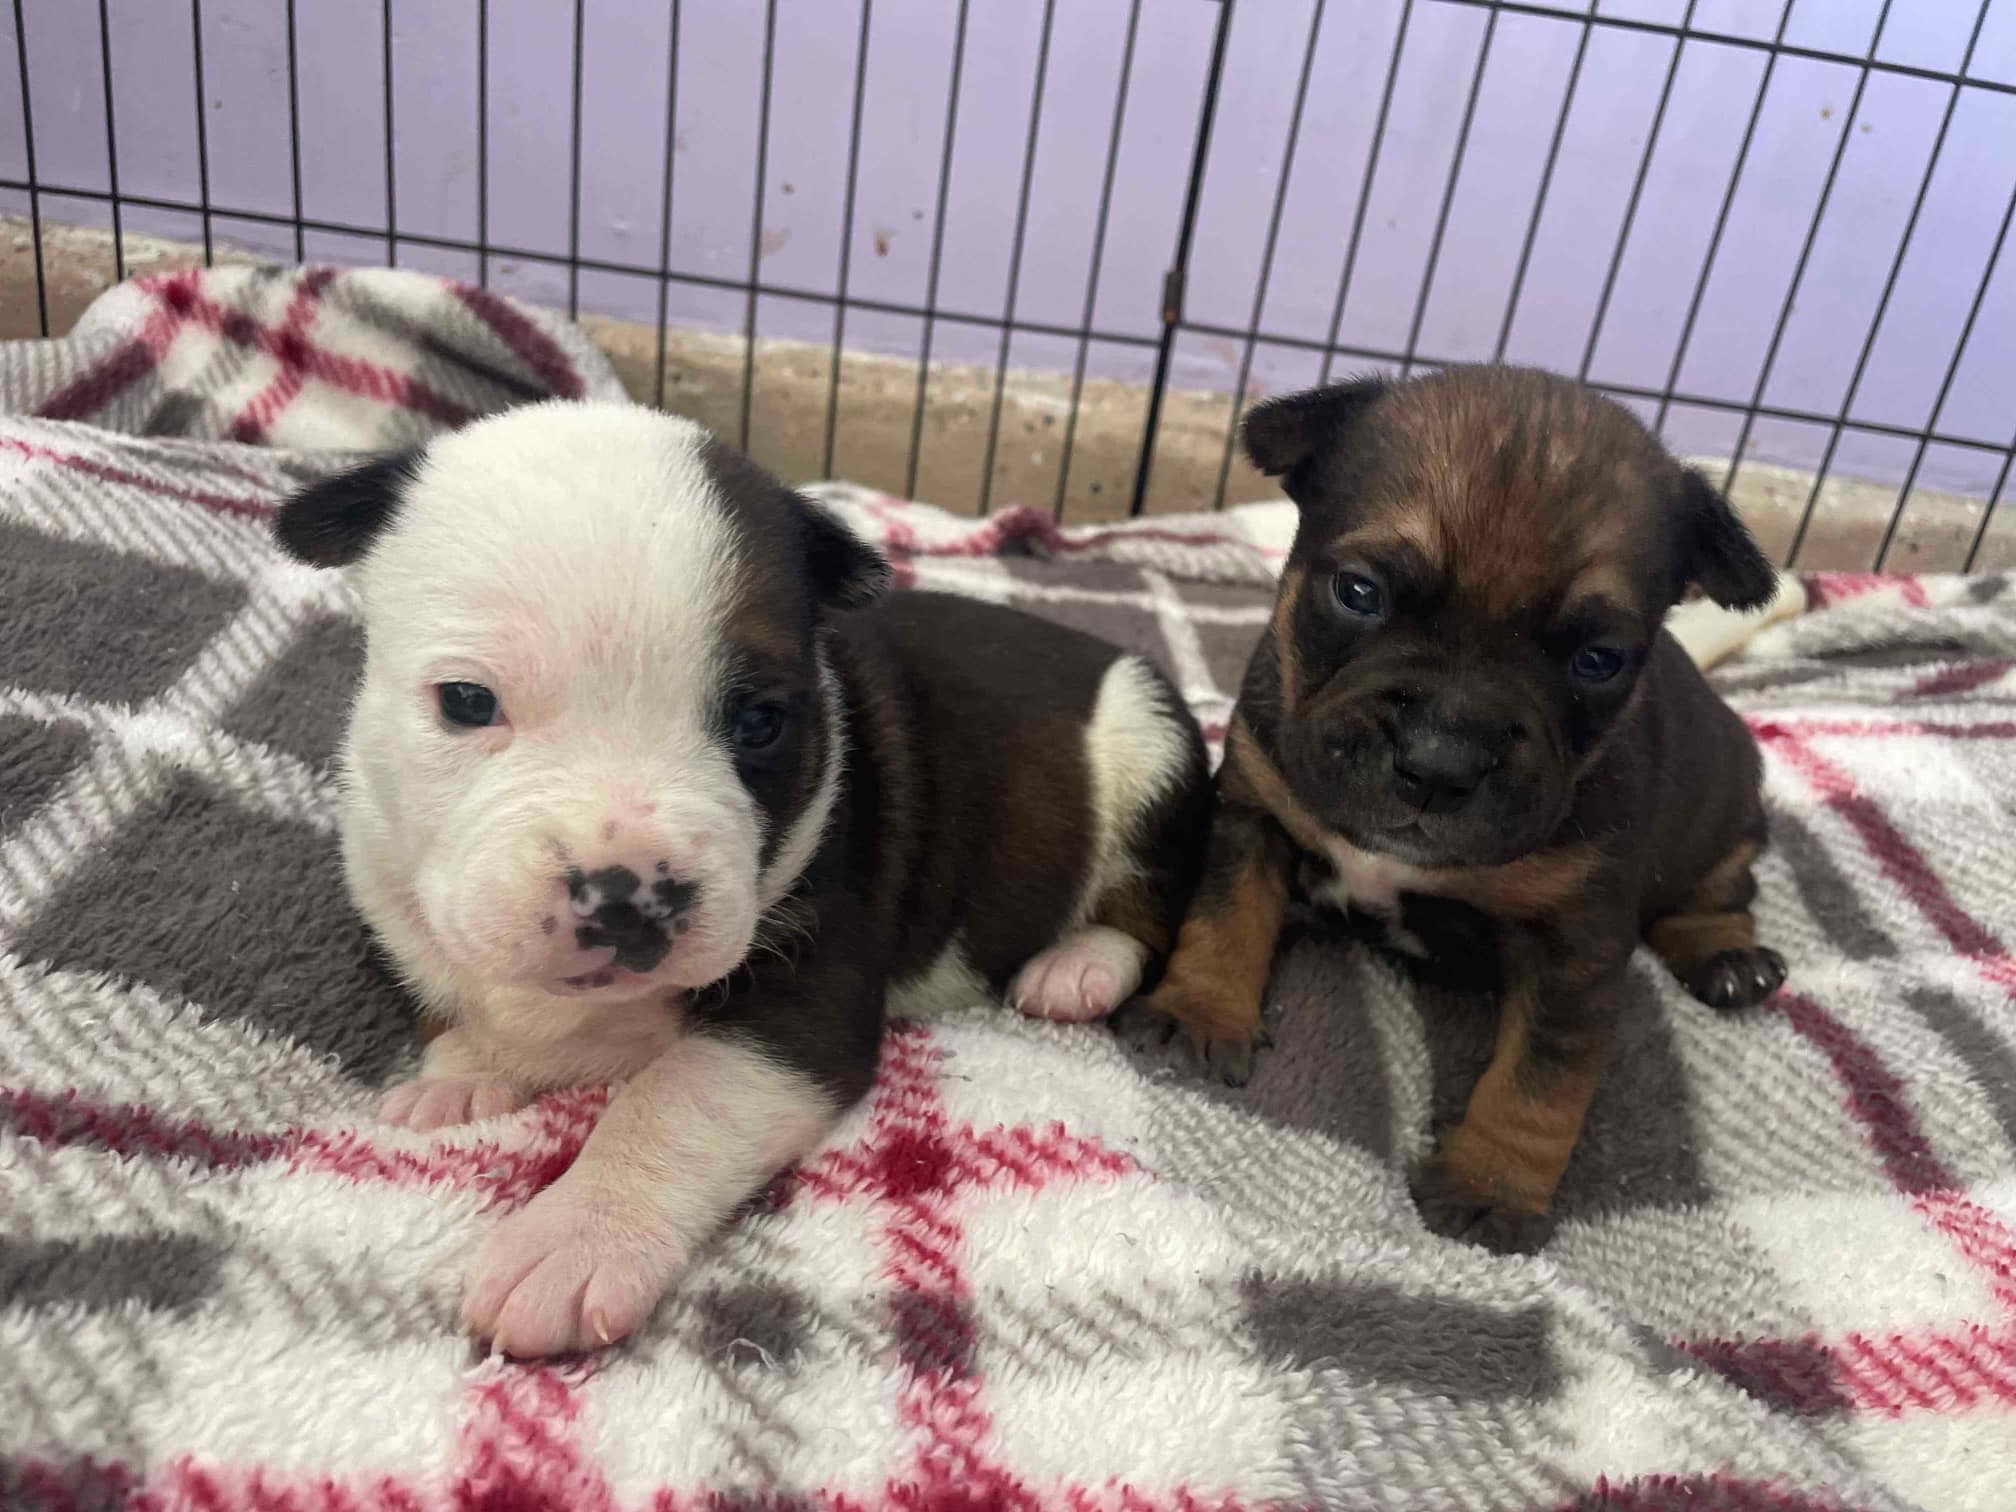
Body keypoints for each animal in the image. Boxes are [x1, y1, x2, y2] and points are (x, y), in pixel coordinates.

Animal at [276, 403, 1201, 1362]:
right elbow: (461, 993)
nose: (626, 898)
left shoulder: (803, 1005)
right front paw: (466, 1070)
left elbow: (674, 1098)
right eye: (465, 701)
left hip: (1152, 750)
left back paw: (1077, 966)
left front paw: (575, 1236)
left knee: (1150, 904)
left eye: (761, 722)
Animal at [1145, 366, 1790, 1257]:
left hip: (1728, 812)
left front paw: (1490, 1188)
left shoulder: (1574, 949)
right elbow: (1225, 916)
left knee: (1720, 891)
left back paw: (1730, 959)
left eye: (1599, 660)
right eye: (1358, 592)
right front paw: (1201, 1010)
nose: (1438, 761)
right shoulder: (1255, 813)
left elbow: (1538, 1081)